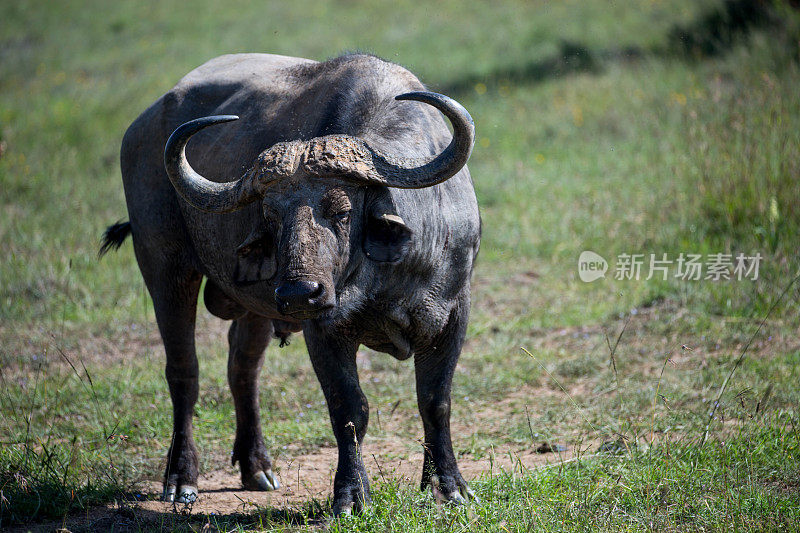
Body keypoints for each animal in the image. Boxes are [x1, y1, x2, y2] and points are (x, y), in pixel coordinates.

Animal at [101, 53, 478, 512]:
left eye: (341, 210)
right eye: (271, 216)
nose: (300, 292)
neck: (385, 277)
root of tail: (140, 128)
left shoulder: (454, 312)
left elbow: (435, 400)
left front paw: (448, 486)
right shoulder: (325, 328)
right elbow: (349, 408)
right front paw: (351, 495)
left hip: (254, 304)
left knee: (243, 368)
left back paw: (257, 468)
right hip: (165, 269)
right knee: (184, 372)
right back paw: (181, 479)